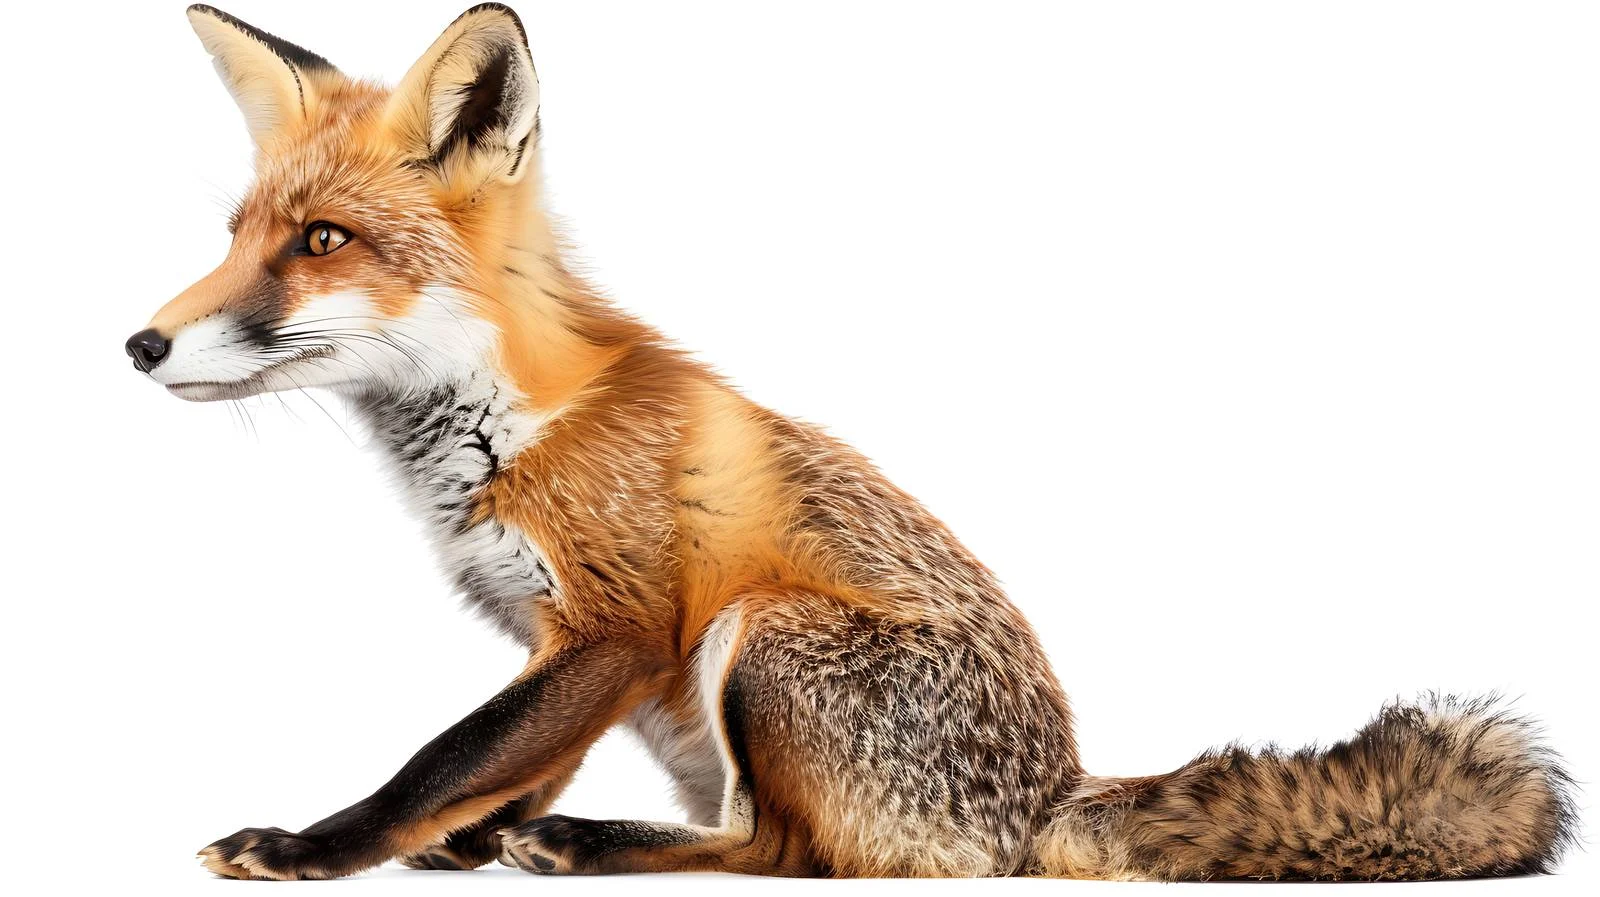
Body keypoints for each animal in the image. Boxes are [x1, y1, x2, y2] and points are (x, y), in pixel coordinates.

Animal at [128, 4, 1577, 882]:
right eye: (239, 236)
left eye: (322, 242)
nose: (139, 345)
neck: (500, 425)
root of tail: (1051, 794)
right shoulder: (561, 642)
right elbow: (508, 761)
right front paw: (469, 837)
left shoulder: (620, 626)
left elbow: (446, 755)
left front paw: (318, 847)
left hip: (762, 636)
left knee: (776, 852)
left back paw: (599, 847)